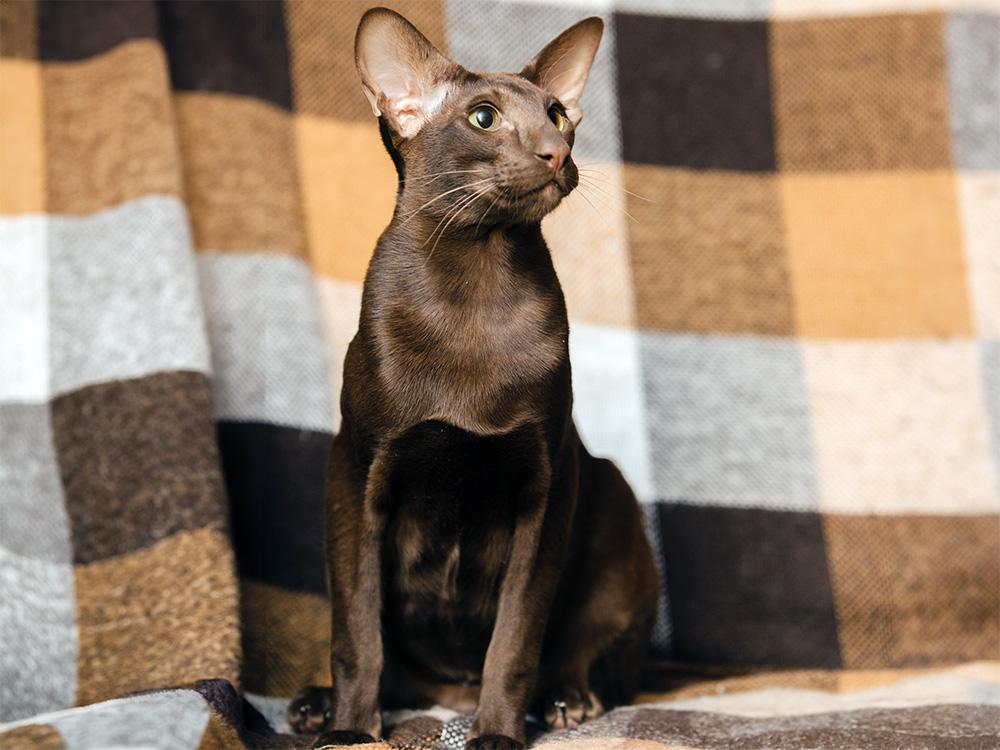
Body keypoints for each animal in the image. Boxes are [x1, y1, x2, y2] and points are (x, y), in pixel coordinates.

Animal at [290, 7, 660, 750]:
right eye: (484, 118)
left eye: (557, 114)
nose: (555, 152)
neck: (474, 288)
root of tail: (446, 691)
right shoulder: (357, 474)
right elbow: (357, 633)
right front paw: (350, 731)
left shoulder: (546, 485)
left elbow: (515, 637)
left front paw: (496, 734)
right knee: (387, 661)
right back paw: (317, 705)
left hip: (610, 496)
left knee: (587, 647)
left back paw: (568, 700)